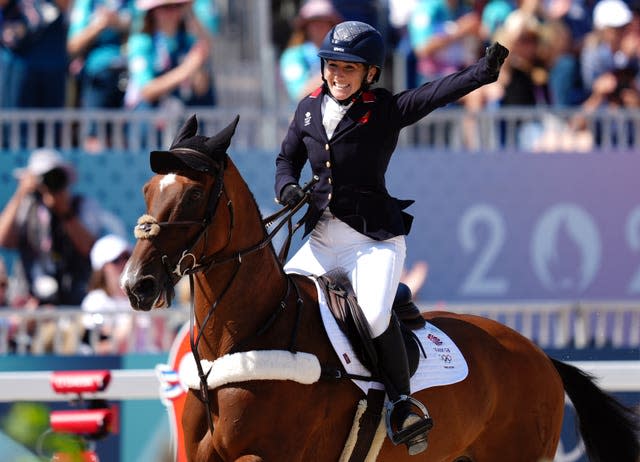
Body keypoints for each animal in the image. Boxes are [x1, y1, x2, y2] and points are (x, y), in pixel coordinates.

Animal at [121, 114, 640, 462]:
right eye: (146, 190)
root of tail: (539, 354)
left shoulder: (268, 455)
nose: (136, 285)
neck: (245, 335)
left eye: (193, 195)